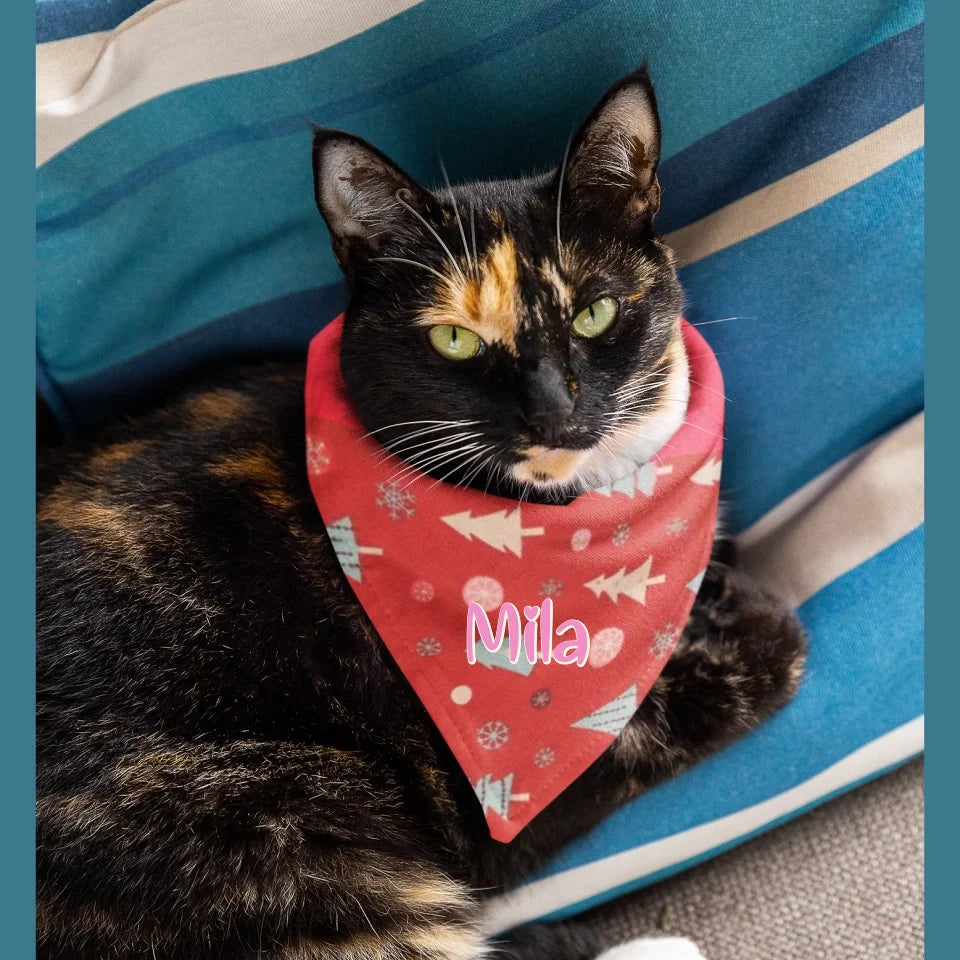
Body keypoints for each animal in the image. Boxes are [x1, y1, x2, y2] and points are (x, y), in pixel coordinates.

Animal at [35, 69, 804, 960]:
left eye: (594, 313)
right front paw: (740, 610)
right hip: (290, 844)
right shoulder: (489, 811)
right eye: (454, 340)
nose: (552, 410)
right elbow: (756, 662)